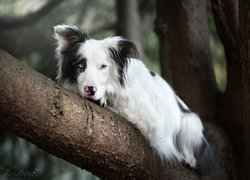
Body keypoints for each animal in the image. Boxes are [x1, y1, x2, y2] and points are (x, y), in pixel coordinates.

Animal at [53, 24, 214, 171]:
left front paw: (103, 100)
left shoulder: (150, 120)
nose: (90, 89)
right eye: (81, 65)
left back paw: (189, 159)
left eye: (103, 66)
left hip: (190, 122)